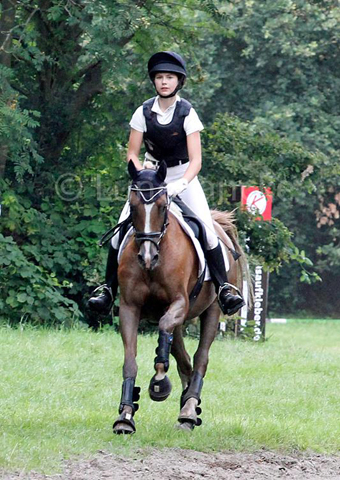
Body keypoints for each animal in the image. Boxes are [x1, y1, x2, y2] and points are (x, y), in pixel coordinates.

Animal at [112, 161, 250, 436]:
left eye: (162, 206)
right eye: (132, 206)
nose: (147, 257)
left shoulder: (179, 303)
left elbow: (168, 336)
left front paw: (159, 382)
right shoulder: (130, 308)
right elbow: (130, 361)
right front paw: (125, 415)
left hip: (212, 310)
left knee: (199, 358)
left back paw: (188, 410)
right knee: (182, 356)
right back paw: (189, 406)